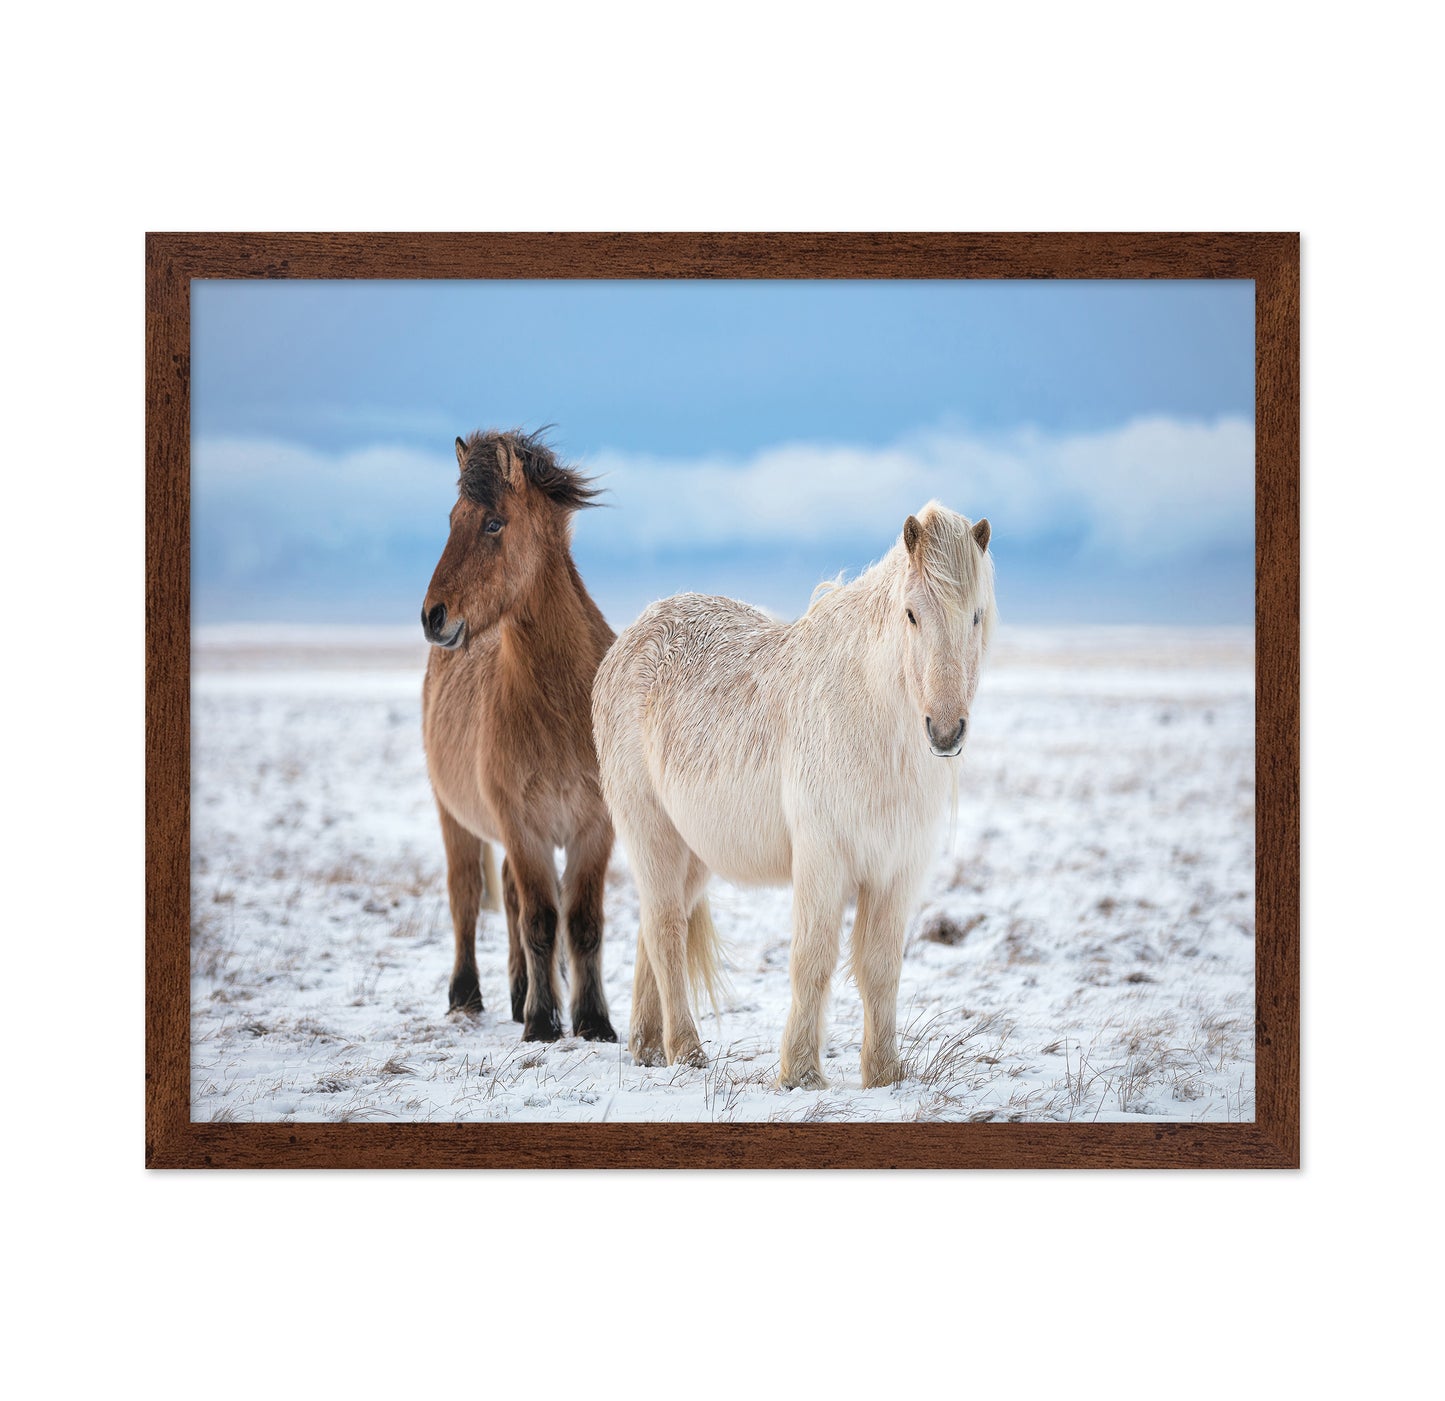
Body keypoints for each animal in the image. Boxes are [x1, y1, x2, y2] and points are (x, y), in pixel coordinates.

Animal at [420, 429, 619, 1042]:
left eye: (492, 523)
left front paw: (594, 1021)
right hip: (455, 817)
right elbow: (539, 920)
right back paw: (468, 995)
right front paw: (542, 1023)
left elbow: (581, 923)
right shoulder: (522, 826)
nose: (433, 616)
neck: (560, 707)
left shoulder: (594, 828)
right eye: (451, 518)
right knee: (467, 897)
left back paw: (517, 991)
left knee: (507, 897)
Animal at [592, 502, 996, 1088]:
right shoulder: (823, 859)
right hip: (650, 831)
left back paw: (647, 1048)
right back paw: (687, 1052)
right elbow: (813, 958)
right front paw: (801, 1072)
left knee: (656, 926)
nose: (945, 731)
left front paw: (884, 1074)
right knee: (666, 931)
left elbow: (881, 967)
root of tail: (627, 641)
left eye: (976, 616)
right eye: (911, 614)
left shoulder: (897, 870)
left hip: (695, 852)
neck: (869, 715)